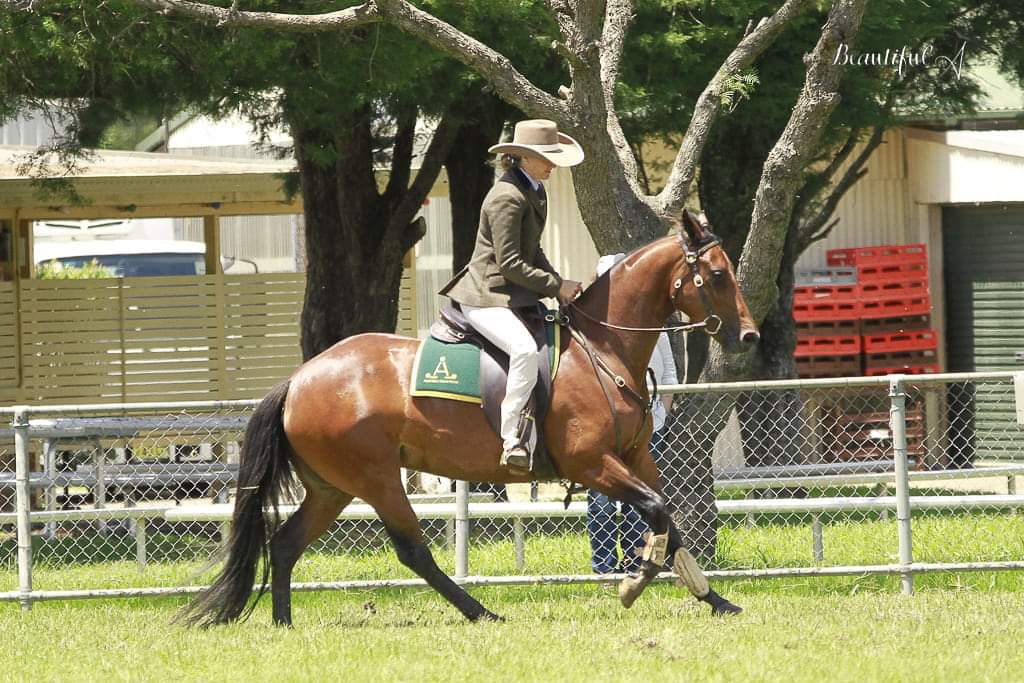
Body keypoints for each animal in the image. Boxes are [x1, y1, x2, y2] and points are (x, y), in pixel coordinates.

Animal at [178, 209, 759, 628]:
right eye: (716, 275)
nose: (750, 335)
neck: (602, 347)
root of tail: (298, 380)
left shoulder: (634, 456)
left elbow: (671, 522)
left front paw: (715, 599)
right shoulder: (591, 463)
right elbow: (659, 512)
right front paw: (635, 582)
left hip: (331, 489)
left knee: (285, 545)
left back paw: (284, 623)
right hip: (377, 480)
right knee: (413, 552)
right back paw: (481, 612)